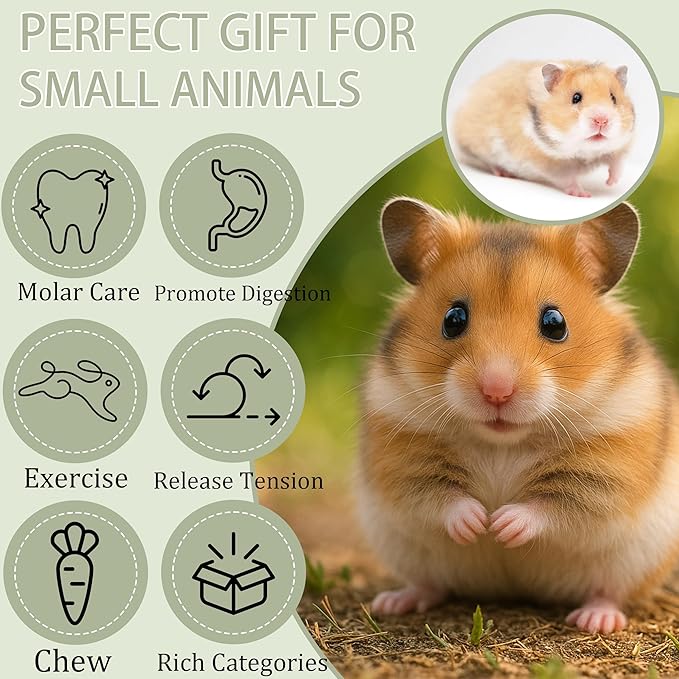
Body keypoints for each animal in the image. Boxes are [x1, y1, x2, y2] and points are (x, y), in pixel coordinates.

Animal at [357, 198, 679, 634]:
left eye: (555, 323)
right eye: (453, 319)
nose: (496, 390)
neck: (504, 441)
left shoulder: (606, 467)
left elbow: (556, 505)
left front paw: (502, 525)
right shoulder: (402, 452)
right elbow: (439, 497)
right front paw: (479, 523)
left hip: (637, 560)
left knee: (610, 591)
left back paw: (595, 619)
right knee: (430, 584)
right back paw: (393, 602)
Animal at [453, 61, 635, 197]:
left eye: (613, 98)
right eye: (576, 98)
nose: (601, 120)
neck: (586, 152)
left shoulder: (619, 145)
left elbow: (616, 161)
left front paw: (611, 183)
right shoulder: (550, 164)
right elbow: (568, 178)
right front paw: (584, 194)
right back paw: (503, 172)